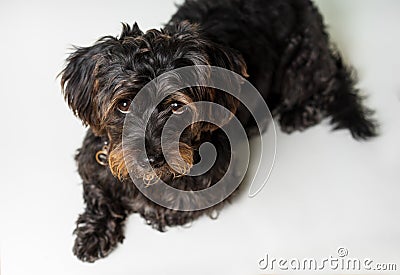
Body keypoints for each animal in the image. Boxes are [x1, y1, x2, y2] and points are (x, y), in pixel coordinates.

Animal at [59, 0, 376, 264]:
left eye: (176, 106)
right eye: (123, 104)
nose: (151, 158)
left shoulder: (216, 180)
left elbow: (167, 206)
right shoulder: (91, 161)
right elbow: (98, 192)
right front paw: (93, 232)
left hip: (303, 62)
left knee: (325, 85)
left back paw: (295, 112)